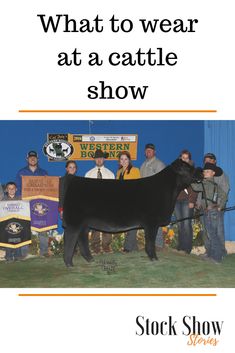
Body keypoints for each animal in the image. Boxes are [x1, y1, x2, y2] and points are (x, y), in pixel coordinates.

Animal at [63, 158, 201, 266]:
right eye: (187, 167)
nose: (201, 171)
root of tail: (74, 180)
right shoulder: (151, 223)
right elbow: (150, 241)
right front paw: (154, 258)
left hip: (84, 224)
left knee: (82, 239)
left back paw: (89, 259)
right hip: (74, 222)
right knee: (70, 240)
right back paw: (69, 263)